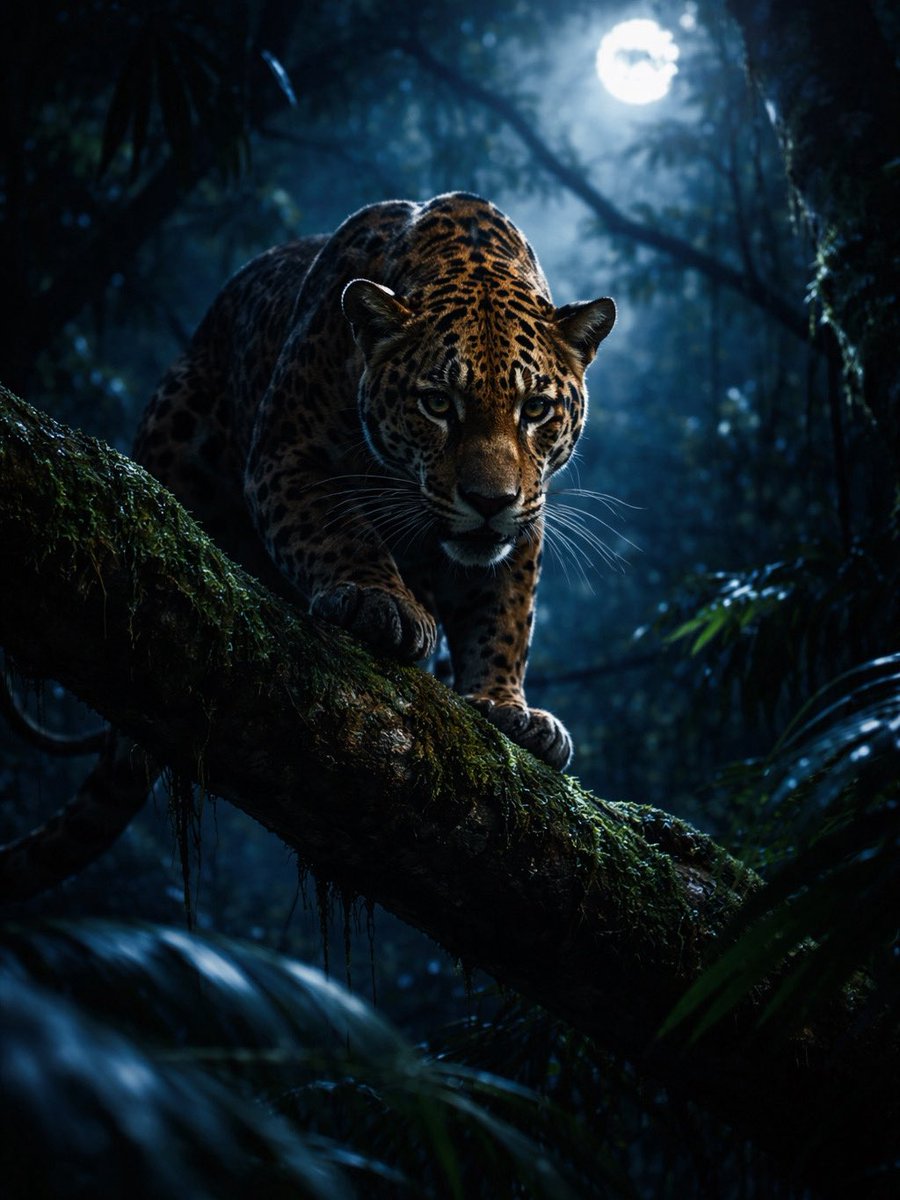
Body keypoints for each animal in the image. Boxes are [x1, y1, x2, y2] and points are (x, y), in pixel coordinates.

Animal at [134, 191, 616, 770]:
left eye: (536, 409)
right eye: (437, 404)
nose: (489, 501)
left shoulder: (528, 513)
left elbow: (505, 610)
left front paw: (506, 703)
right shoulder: (287, 452)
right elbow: (337, 530)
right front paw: (379, 601)